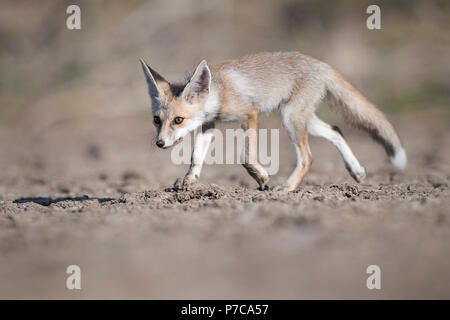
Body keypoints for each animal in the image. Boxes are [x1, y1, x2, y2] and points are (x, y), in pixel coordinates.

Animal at [139, 51, 406, 191]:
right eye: (156, 120)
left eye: (178, 120)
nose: (160, 143)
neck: (219, 92)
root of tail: (320, 63)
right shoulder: (208, 125)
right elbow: (196, 157)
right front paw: (189, 181)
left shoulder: (250, 114)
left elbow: (246, 157)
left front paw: (262, 178)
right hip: (303, 120)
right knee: (336, 130)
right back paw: (356, 171)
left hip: (290, 119)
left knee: (307, 157)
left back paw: (287, 189)